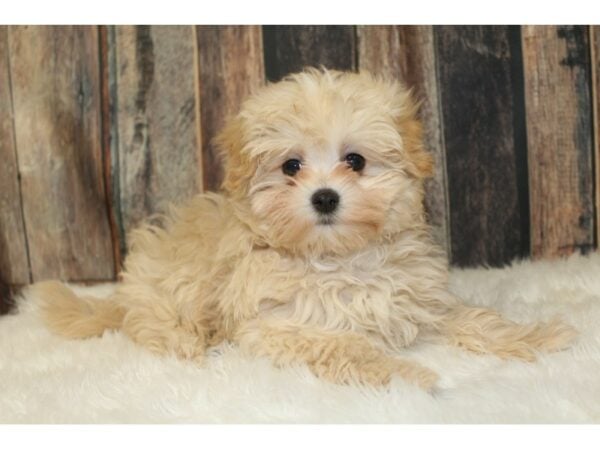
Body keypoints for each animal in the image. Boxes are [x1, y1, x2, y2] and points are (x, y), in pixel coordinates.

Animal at [34, 67, 576, 390]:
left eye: (355, 160)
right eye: (291, 166)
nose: (325, 197)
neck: (342, 260)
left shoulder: (421, 301)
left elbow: (475, 320)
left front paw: (535, 336)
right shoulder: (277, 325)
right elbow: (347, 345)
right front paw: (405, 375)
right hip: (169, 290)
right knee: (149, 324)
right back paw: (187, 345)